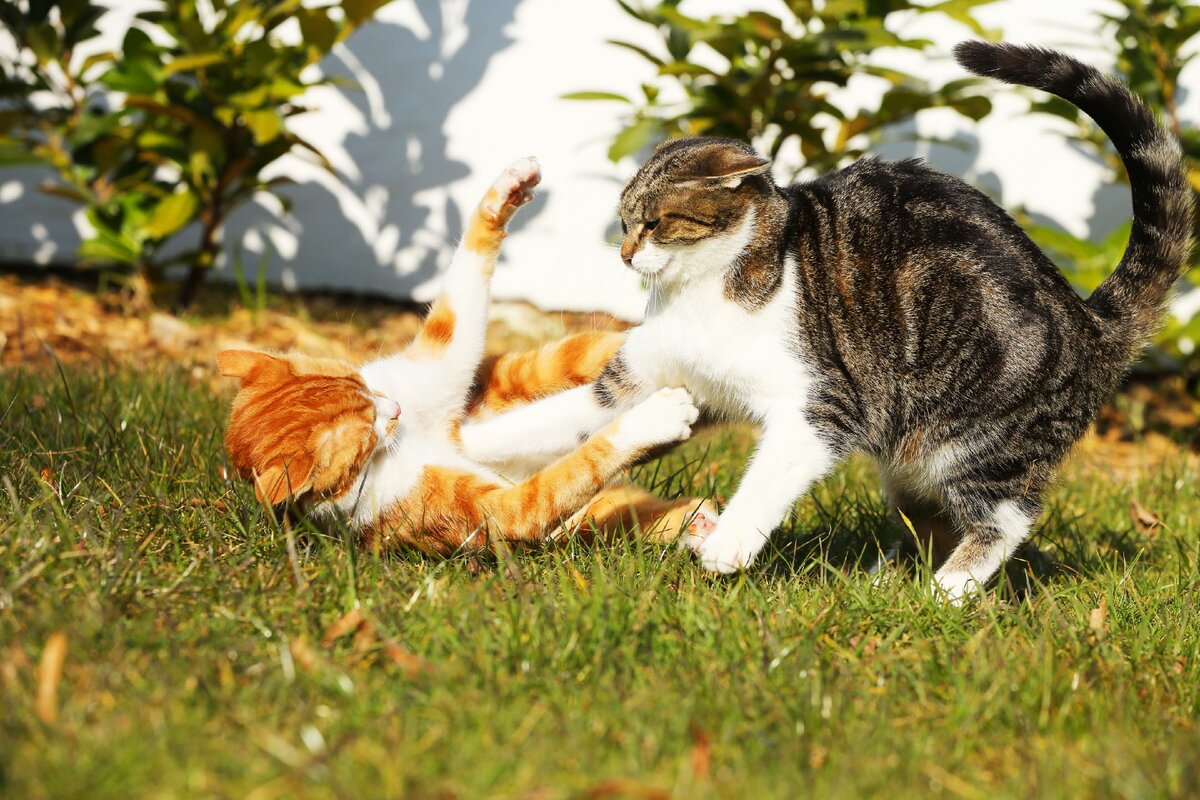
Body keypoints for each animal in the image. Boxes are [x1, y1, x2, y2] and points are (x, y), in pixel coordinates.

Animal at [220, 158, 715, 554]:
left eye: (363, 385)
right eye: (364, 429)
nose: (393, 408)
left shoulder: (443, 356)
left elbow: (460, 293)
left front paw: (504, 194)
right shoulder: (498, 513)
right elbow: (570, 473)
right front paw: (655, 421)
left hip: (524, 372)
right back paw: (697, 522)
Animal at [458, 40, 1190, 597]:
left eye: (655, 222)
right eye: (622, 222)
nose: (624, 253)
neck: (704, 293)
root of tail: (1089, 318)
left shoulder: (823, 407)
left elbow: (772, 474)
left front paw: (729, 545)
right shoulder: (637, 382)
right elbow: (547, 422)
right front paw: (454, 448)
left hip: (973, 436)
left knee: (1006, 519)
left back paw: (946, 594)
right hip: (909, 453)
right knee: (932, 519)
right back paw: (883, 583)